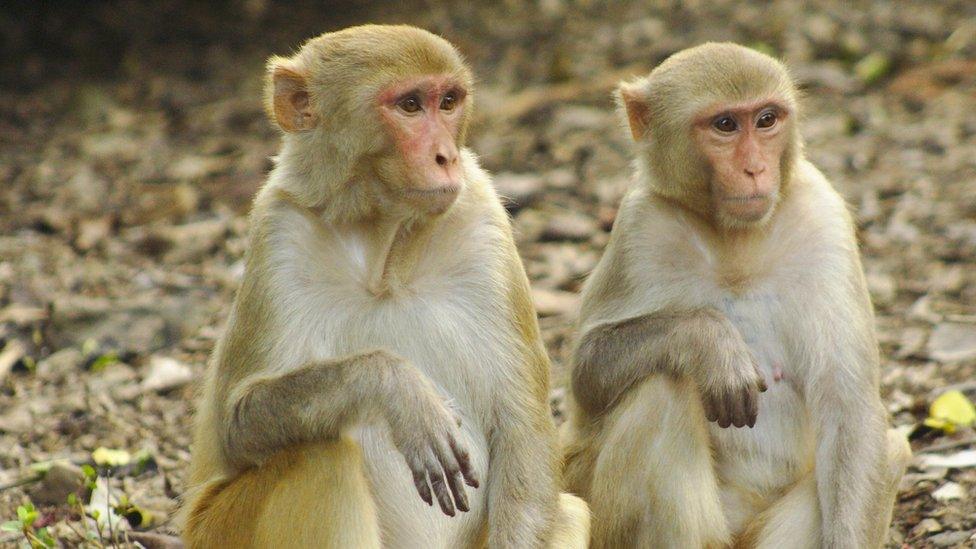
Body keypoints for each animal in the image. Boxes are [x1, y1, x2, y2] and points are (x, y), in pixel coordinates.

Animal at [180, 25, 589, 549]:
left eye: (449, 101)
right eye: (410, 105)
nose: (446, 157)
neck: (384, 252)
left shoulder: (483, 216)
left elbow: (523, 426)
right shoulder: (277, 231)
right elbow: (238, 421)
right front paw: (396, 388)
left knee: (570, 511)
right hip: (215, 529)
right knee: (322, 459)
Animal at [561, 42, 911, 549]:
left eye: (766, 119)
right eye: (725, 124)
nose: (755, 169)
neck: (736, 243)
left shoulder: (822, 217)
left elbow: (850, 409)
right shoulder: (640, 227)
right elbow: (586, 374)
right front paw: (710, 343)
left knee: (892, 447)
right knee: (662, 389)